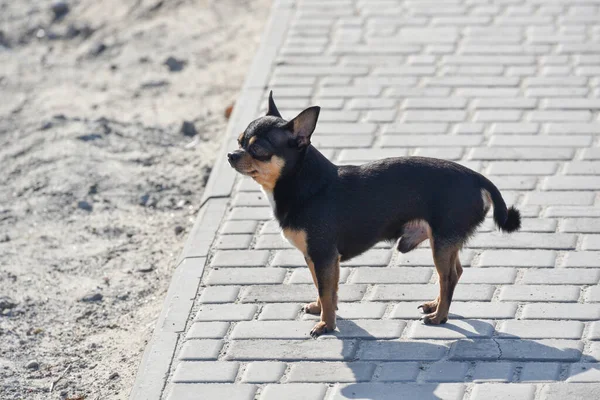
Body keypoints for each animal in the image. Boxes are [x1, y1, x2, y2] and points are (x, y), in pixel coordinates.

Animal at [227, 91, 516, 338]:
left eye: (258, 150)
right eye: (239, 140)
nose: (230, 154)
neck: (303, 184)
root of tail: (478, 179)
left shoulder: (323, 256)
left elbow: (327, 291)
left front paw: (326, 325)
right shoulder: (315, 258)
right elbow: (324, 289)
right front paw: (320, 310)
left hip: (442, 242)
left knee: (448, 278)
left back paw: (439, 316)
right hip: (445, 242)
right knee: (454, 273)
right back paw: (434, 305)